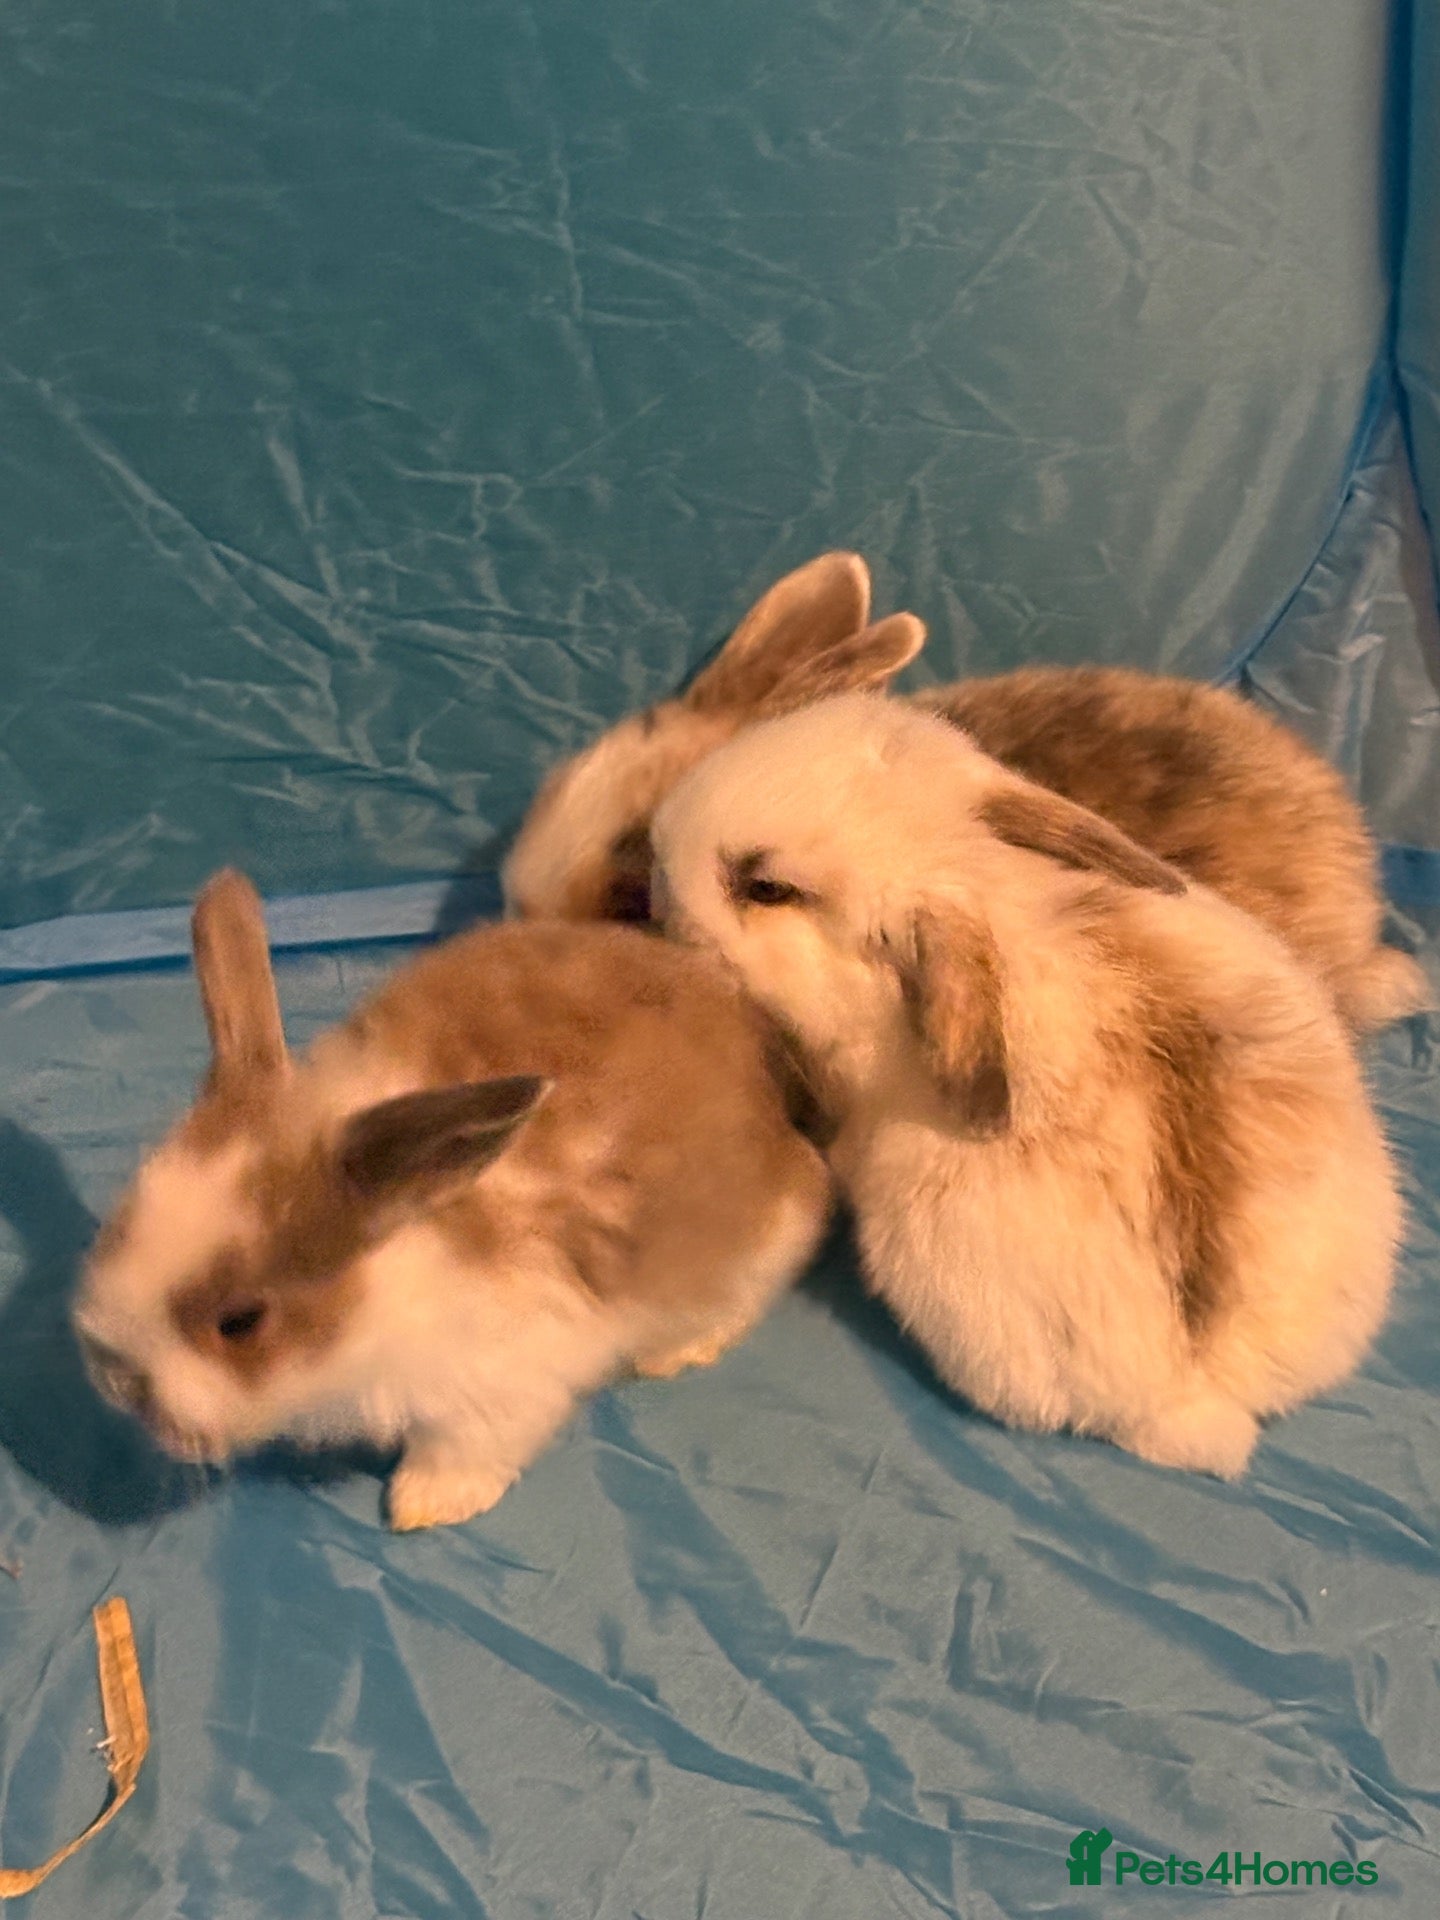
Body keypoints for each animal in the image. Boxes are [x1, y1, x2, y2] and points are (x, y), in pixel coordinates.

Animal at [73, 870, 831, 1530]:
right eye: (119, 1224)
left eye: (240, 1321)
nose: (113, 1378)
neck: (385, 1286)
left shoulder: (500, 1385)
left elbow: (464, 1448)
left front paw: (421, 1506)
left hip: (753, 1249)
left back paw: (673, 1354)